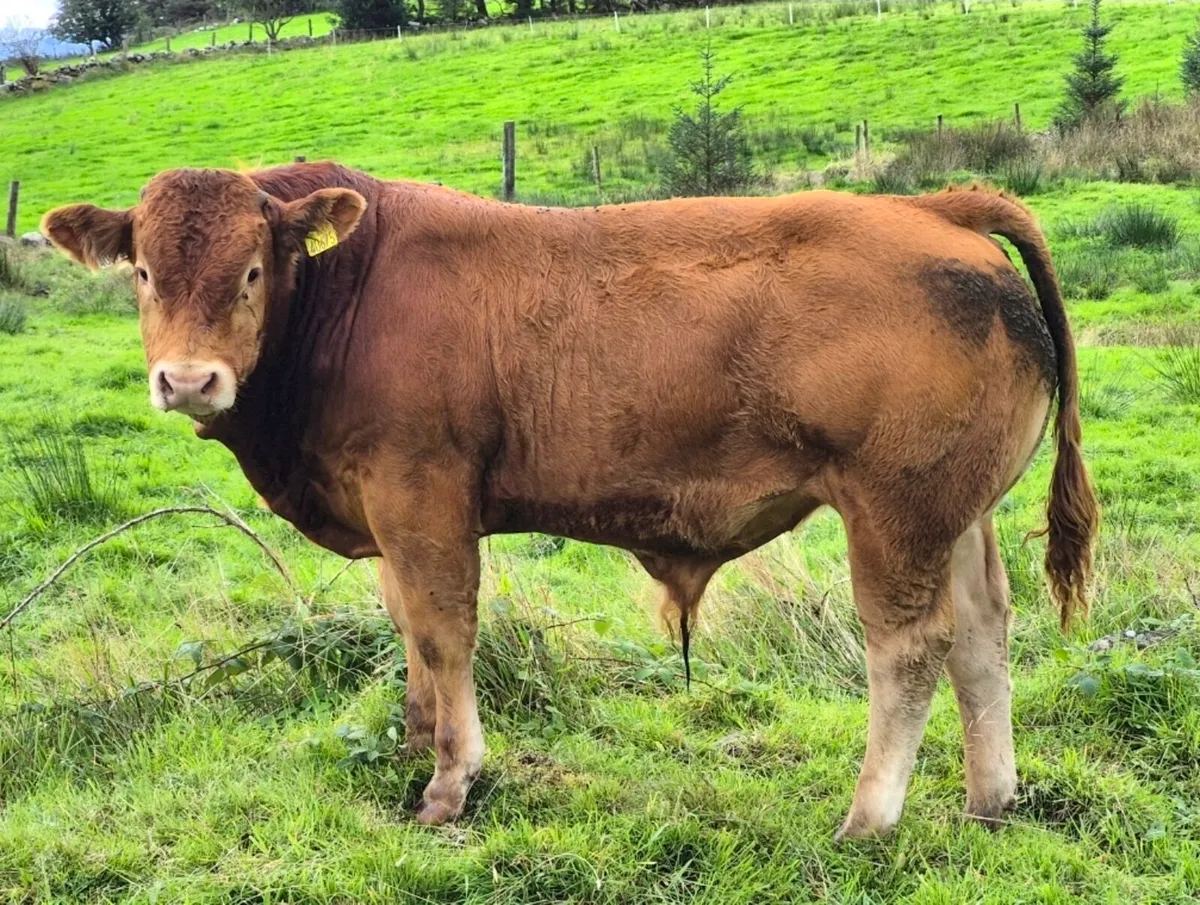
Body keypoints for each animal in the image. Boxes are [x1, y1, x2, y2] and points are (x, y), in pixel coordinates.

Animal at [41, 163, 1098, 838]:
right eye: (145, 272)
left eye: (253, 269)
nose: (189, 380)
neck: (347, 289)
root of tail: (935, 208)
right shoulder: (386, 514)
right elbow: (405, 628)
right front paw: (415, 741)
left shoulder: (422, 496)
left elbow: (443, 630)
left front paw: (451, 779)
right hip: (956, 516)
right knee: (981, 633)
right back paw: (990, 799)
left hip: (894, 513)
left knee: (909, 647)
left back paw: (869, 816)